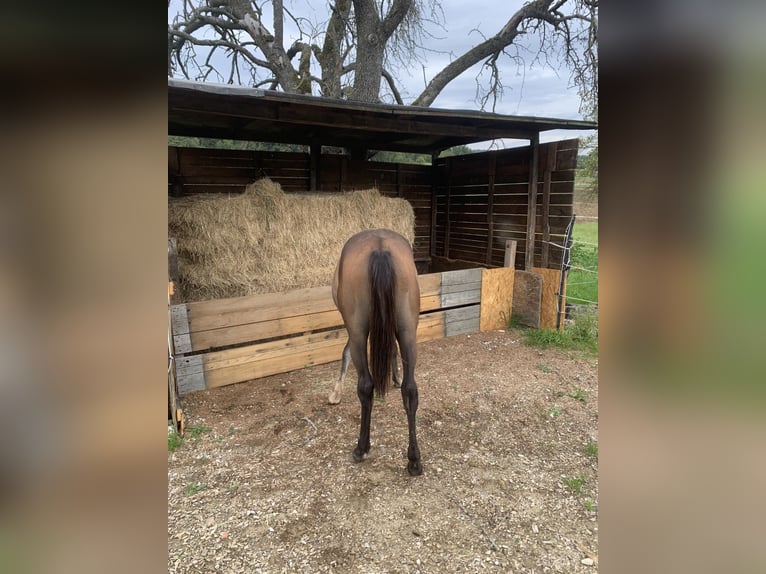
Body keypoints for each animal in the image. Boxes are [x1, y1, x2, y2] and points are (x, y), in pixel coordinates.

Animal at [328, 230, 424, 476]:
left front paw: (335, 393)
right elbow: (392, 351)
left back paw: (361, 448)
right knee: (411, 390)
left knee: (365, 386)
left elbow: (345, 354)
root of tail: (380, 248)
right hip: (407, 329)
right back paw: (414, 459)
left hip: (358, 330)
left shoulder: (354, 330)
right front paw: (396, 376)